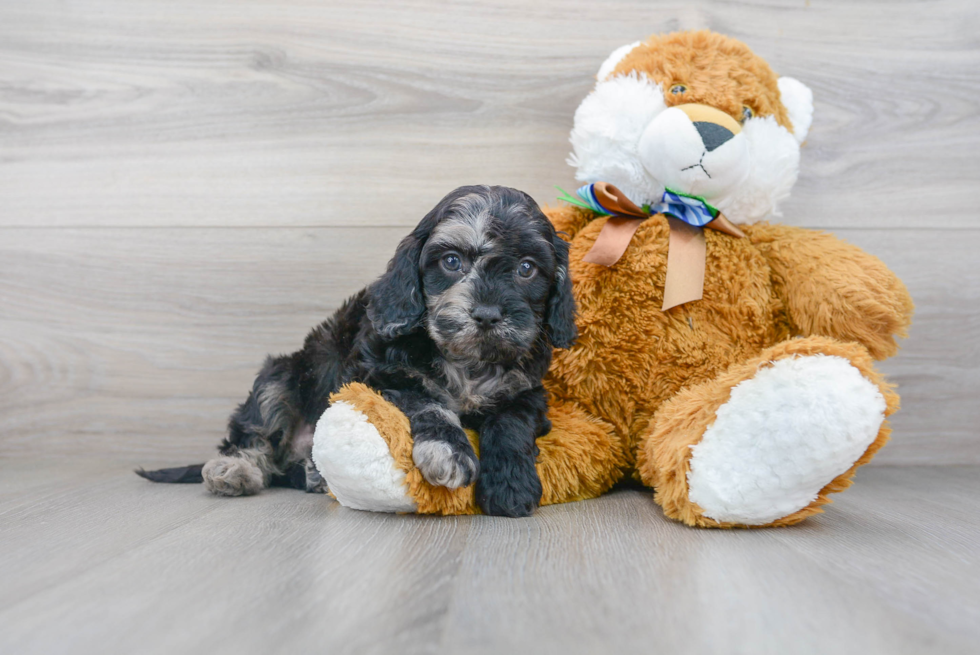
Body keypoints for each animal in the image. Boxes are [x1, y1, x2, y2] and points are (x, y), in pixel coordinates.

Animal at [142, 186, 580, 516]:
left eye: (527, 268)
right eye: (452, 261)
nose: (488, 315)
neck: (466, 359)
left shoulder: (528, 390)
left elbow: (511, 422)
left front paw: (511, 484)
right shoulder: (381, 376)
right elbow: (428, 402)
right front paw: (449, 451)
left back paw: (312, 473)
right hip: (280, 376)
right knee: (254, 433)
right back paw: (234, 470)